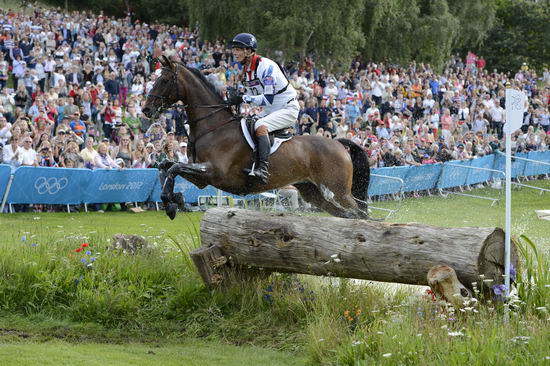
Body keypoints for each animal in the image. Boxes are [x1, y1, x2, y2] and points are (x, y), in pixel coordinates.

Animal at [144, 55, 374, 219]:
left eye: (164, 80)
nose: (146, 110)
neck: (213, 127)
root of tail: (338, 143)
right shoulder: (201, 177)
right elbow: (166, 165)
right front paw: (172, 201)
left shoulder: (214, 171)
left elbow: (173, 167)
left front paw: (172, 202)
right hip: (311, 191)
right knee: (347, 215)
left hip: (338, 190)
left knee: (358, 212)